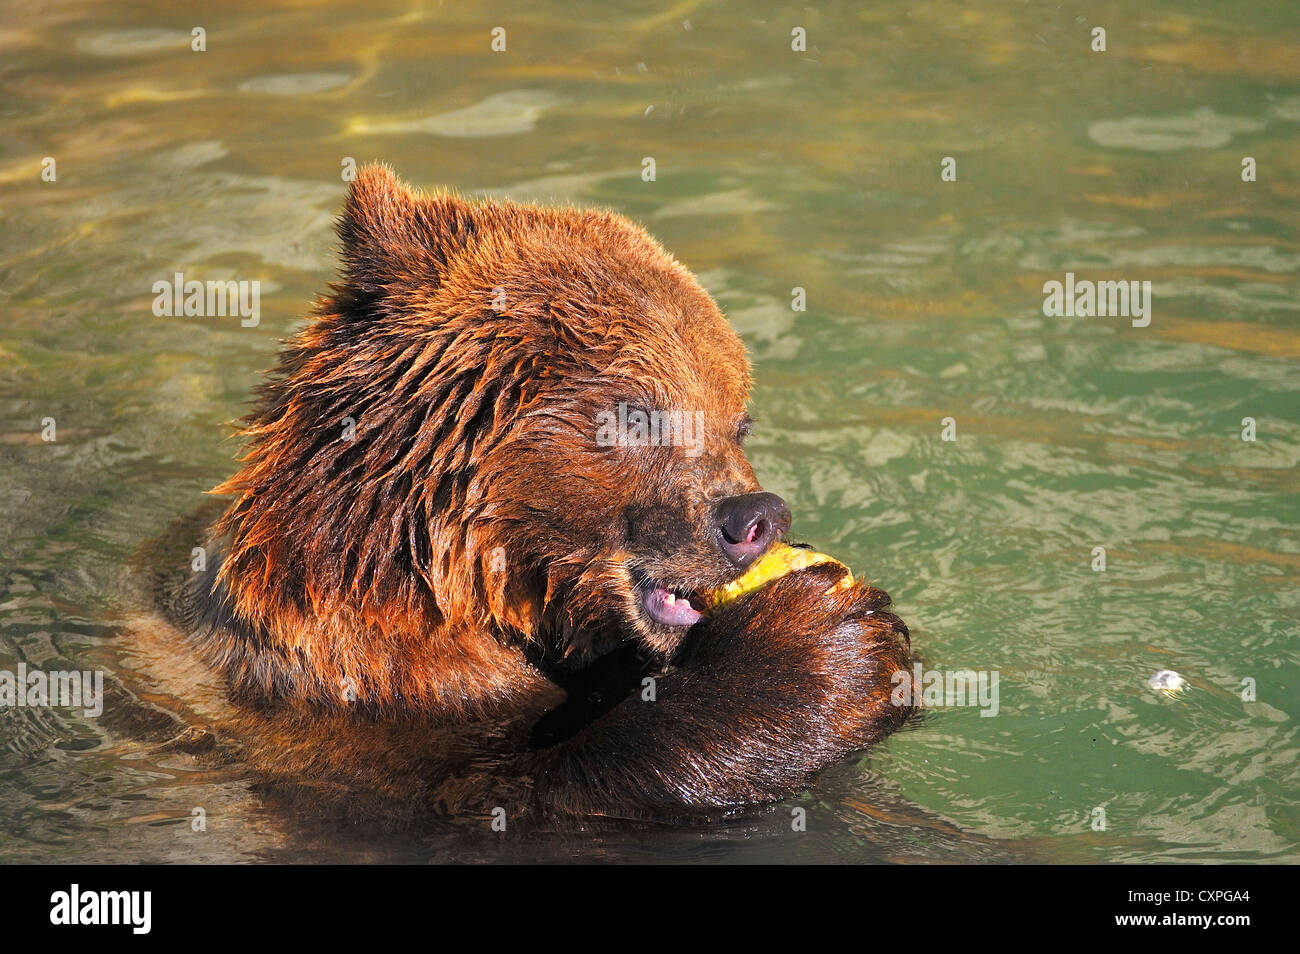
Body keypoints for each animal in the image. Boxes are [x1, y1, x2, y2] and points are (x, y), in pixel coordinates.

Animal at [178, 167, 915, 826]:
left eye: (738, 421)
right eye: (637, 414)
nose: (756, 516)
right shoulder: (359, 718)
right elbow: (501, 799)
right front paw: (823, 641)